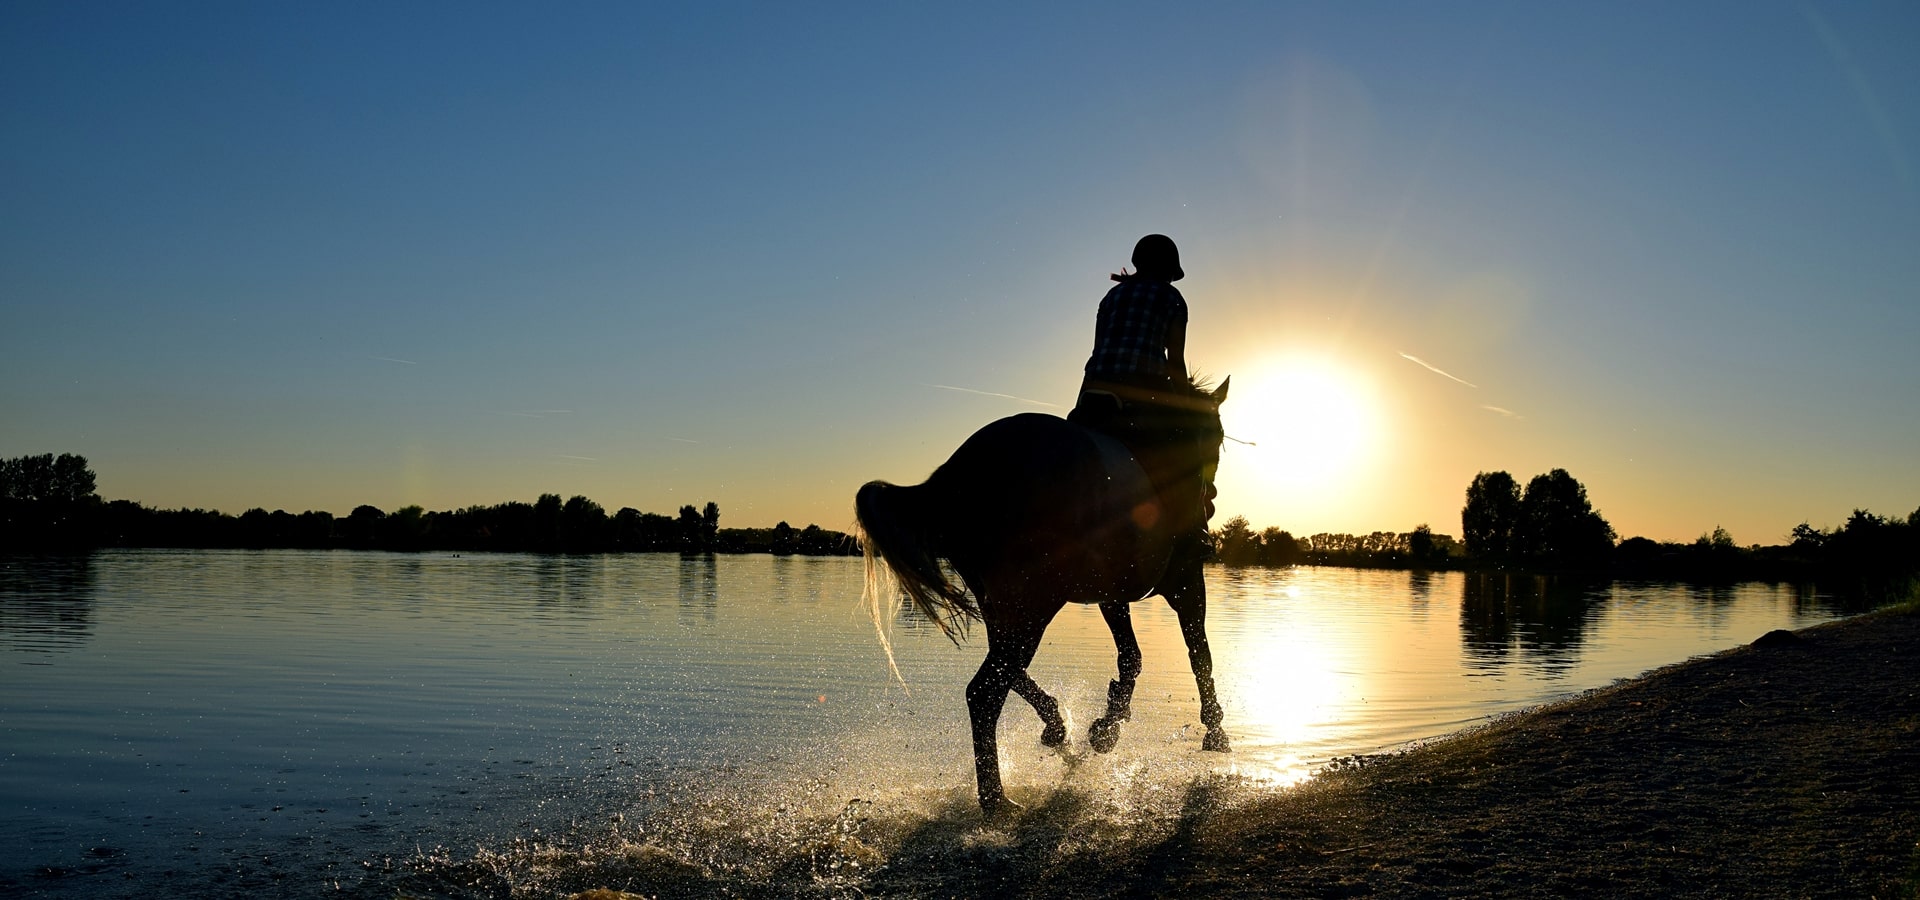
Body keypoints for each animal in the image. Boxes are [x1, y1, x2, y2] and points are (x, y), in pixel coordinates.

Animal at [856, 376, 1228, 809]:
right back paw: (997, 800)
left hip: (1006, 603)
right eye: (1217, 436)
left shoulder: (1113, 594)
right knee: (984, 691)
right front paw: (1215, 731)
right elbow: (1199, 654)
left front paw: (1106, 727)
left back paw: (1054, 728)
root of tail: (955, 476)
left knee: (1004, 667)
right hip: (1036, 603)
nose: (1210, 500)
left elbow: (1131, 658)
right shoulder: (1187, 583)